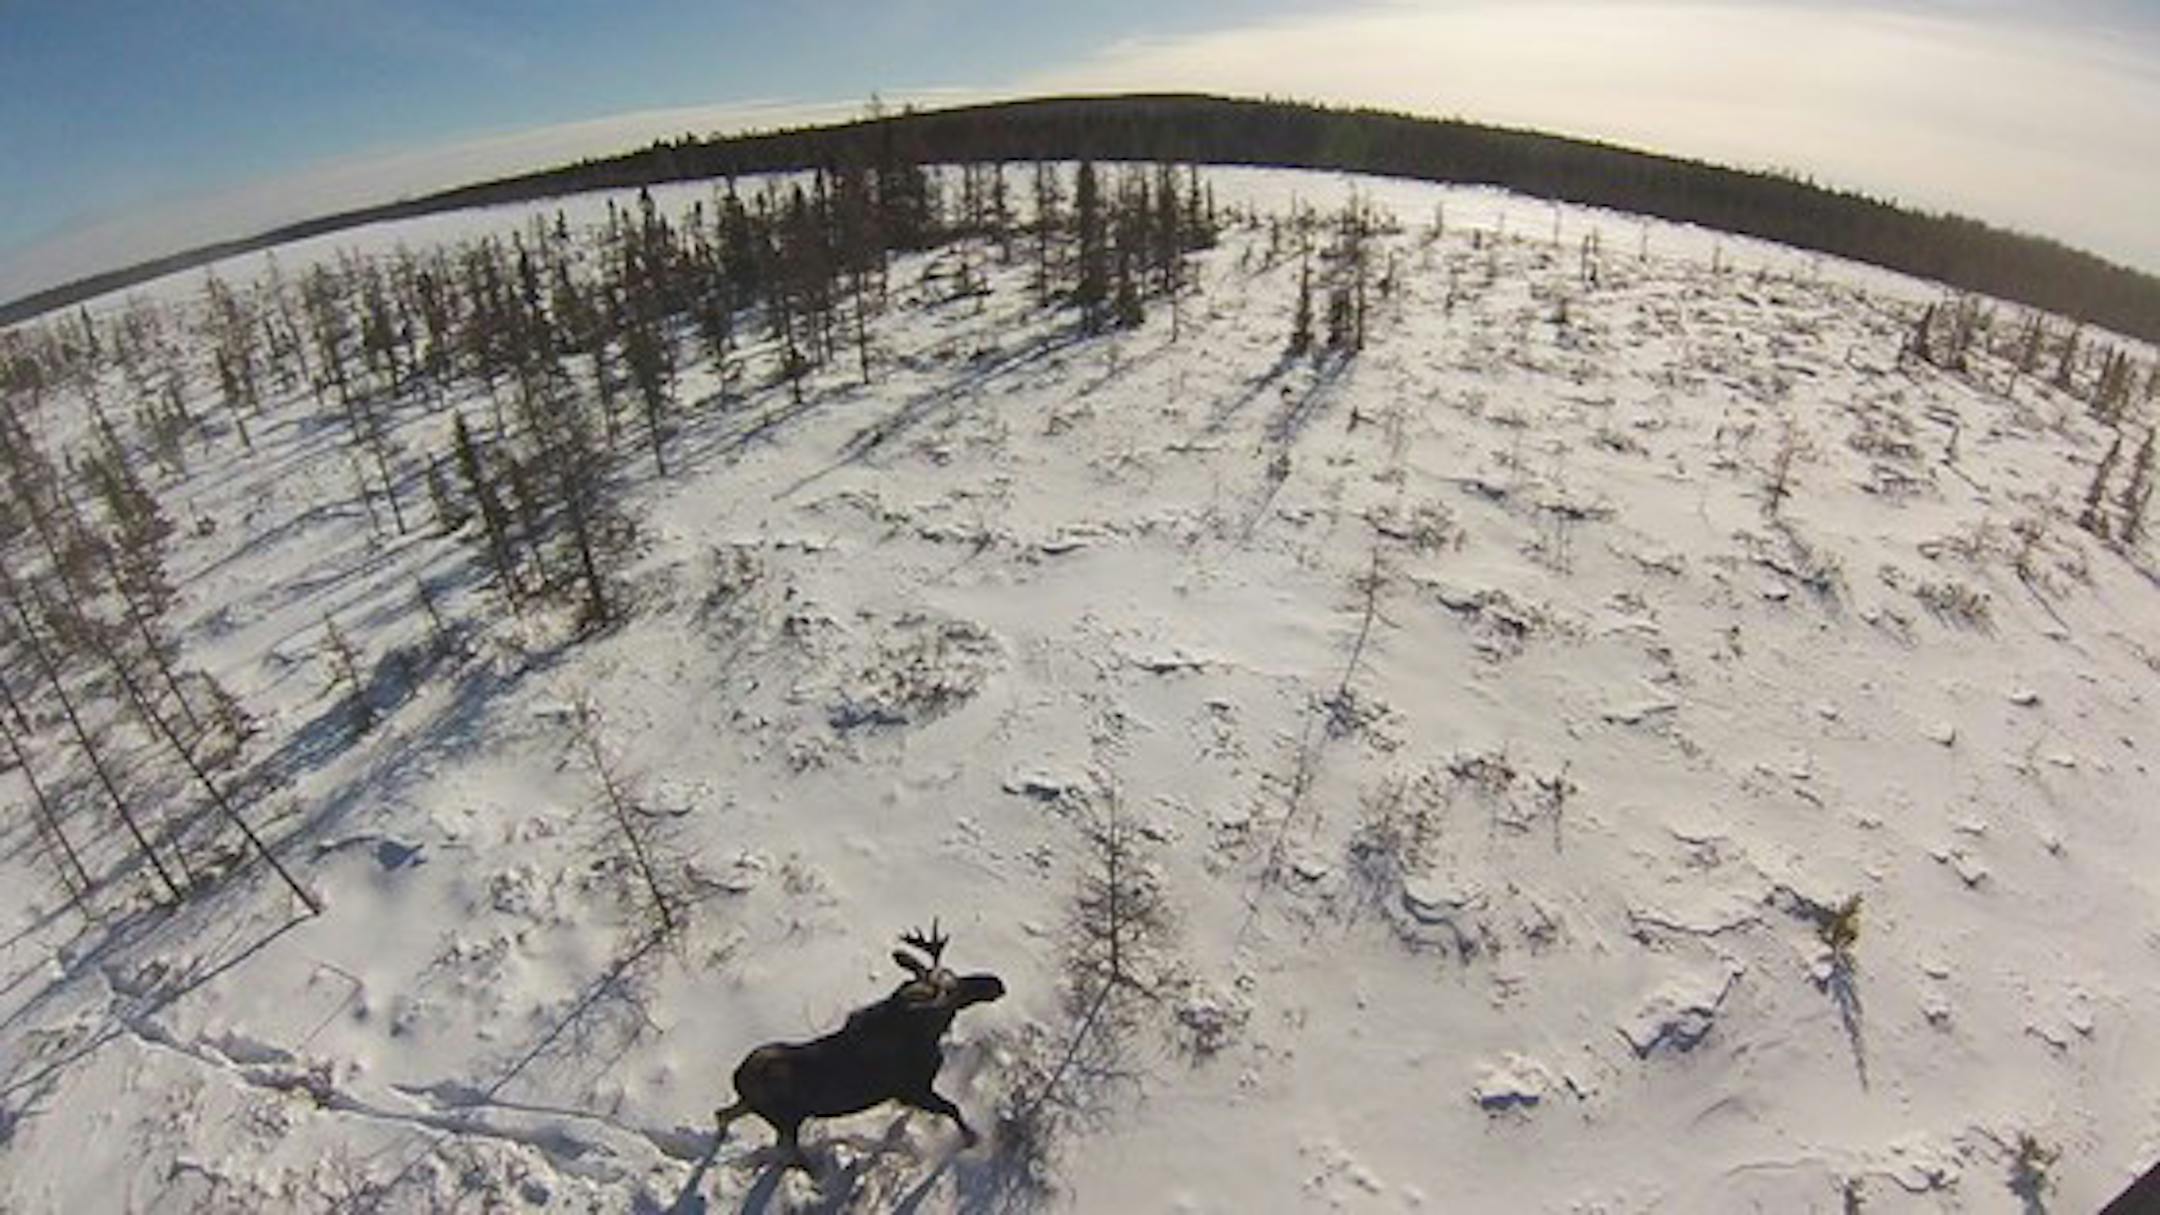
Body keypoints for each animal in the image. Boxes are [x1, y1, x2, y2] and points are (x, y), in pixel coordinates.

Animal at [715, 921, 1006, 1170]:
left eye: (954, 974)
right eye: (952, 991)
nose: (996, 983)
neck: (926, 1033)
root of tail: (736, 1076)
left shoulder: (912, 1093)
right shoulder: (912, 1089)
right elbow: (952, 1108)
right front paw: (972, 1139)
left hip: (754, 1106)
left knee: (722, 1113)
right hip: (786, 1119)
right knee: (788, 1152)